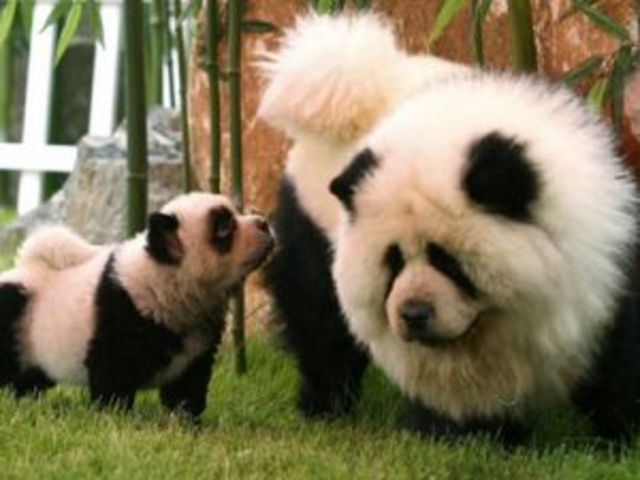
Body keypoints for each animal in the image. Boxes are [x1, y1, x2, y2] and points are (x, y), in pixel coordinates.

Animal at [0, 192, 274, 418]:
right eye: (224, 227)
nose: (264, 223)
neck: (165, 278)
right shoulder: (123, 310)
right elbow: (112, 374)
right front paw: (115, 416)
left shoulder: (198, 338)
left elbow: (187, 384)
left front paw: (187, 421)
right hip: (19, 319)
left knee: (29, 380)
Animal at [259, 13, 640, 445]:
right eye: (393, 262)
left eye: (448, 261)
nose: (414, 314)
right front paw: (472, 435)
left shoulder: (606, 256)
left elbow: (619, 353)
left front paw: (619, 435)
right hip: (312, 219)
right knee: (319, 325)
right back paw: (324, 407)